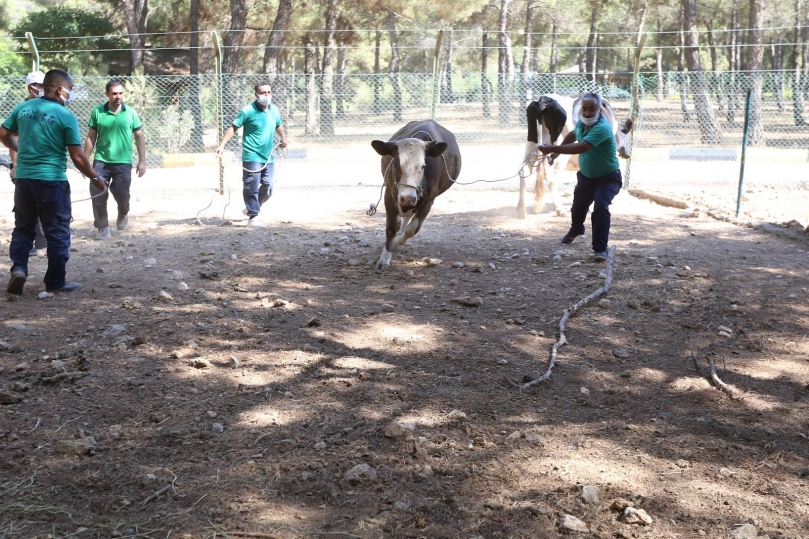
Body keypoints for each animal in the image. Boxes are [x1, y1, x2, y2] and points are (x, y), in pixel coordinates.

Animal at [370, 118, 460, 270]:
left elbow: (413, 228)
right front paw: (384, 258)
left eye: (423, 166)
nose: (408, 198)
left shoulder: (429, 199)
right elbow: (391, 228)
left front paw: (398, 241)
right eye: (396, 164)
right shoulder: (389, 195)